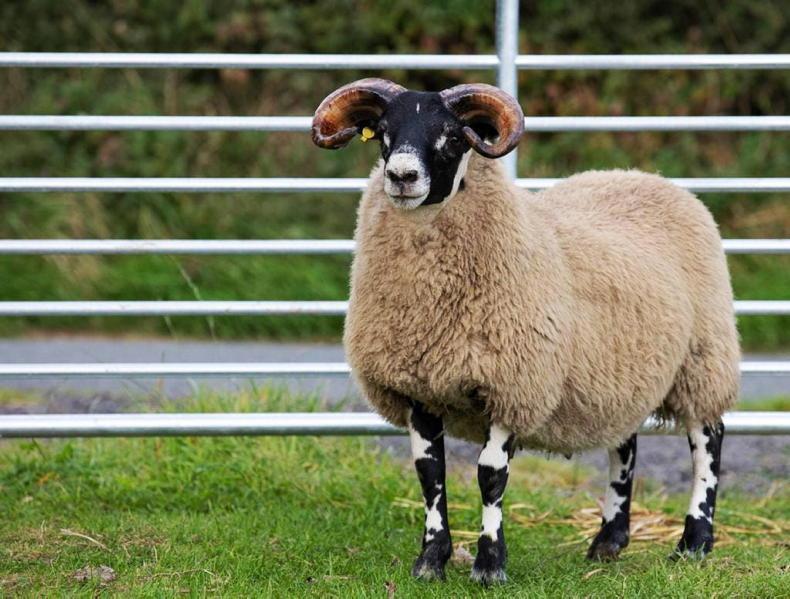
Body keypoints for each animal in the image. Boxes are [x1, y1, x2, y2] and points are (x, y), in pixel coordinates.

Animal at [312, 78, 740, 584]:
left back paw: (694, 543)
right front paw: (431, 561)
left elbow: (490, 475)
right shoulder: (417, 386)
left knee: (707, 441)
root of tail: (648, 177)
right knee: (625, 447)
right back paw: (608, 542)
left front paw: (489, 565)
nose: (401, 177)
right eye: (382, 133)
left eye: (453, 137)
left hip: (702, 357)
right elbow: (430, 474)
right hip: (618, 369)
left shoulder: (513, 382)